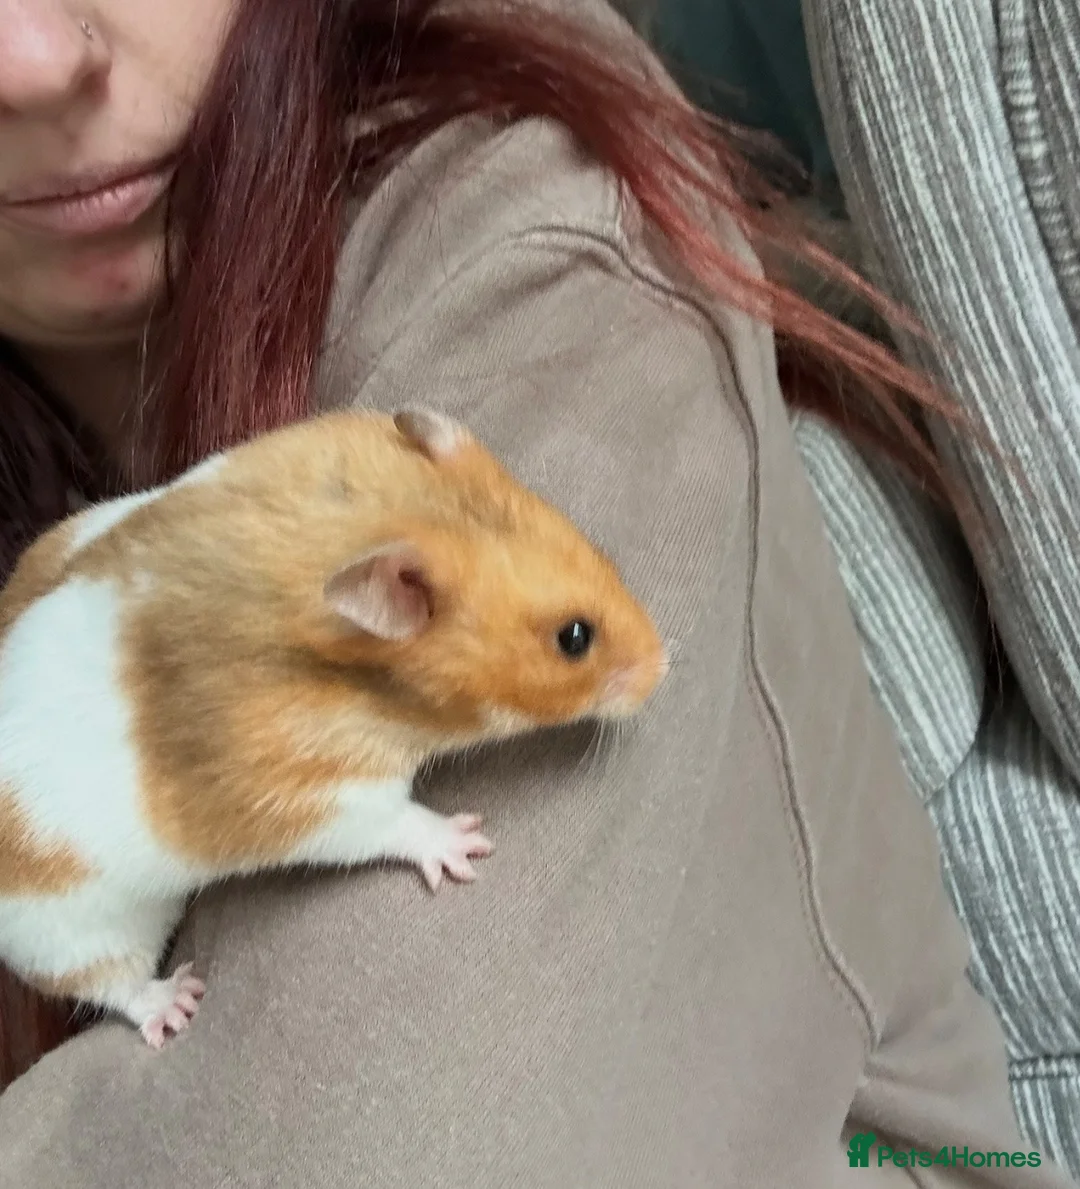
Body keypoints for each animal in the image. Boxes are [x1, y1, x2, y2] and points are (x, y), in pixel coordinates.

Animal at [0, 407, 667, 1048]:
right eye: (574, 637)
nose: (664, 666)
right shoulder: (315, 790)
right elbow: (395, 820)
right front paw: (467, 844)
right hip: (72, 931)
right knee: (116, 985)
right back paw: (177, 1003)